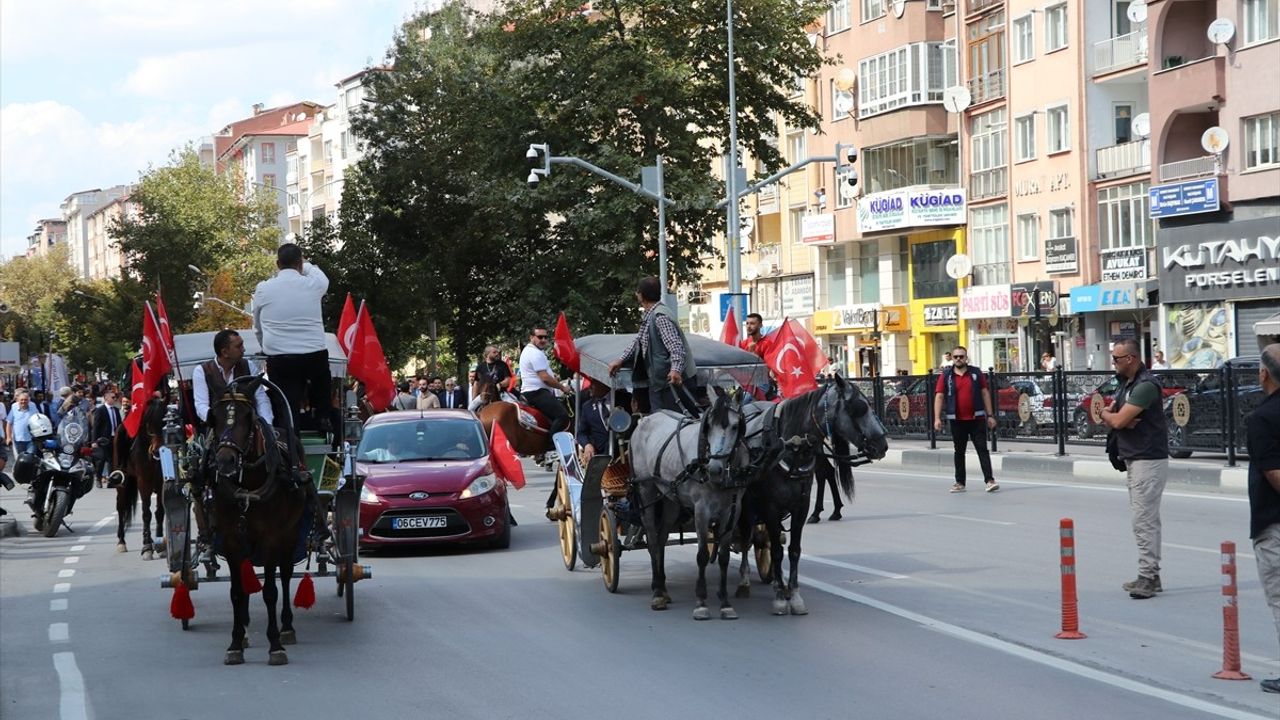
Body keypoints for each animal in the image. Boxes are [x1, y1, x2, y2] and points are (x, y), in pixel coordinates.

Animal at [632, 386, 752, 617]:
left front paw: (725, 602)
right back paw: (657, 592)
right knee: (652, 539)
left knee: (661, 539)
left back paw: (663, 587)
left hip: (670, 498)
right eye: (709, 425)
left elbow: (723, 556)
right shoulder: (701, 510)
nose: (714, 469)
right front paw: (701, 602)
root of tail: (646, 419)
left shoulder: (733, 511)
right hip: (645, 489)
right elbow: (703, 555)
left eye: (735, 426)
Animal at [737, 371, 885, 614]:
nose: (882, 444)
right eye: (859, 407)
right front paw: (780, 596)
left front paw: (793, 594)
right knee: (746, 535)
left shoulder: (800, 508)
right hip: (747, 504)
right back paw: (744, 580)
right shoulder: (771, 509)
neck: (790, 448)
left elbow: (794, 550)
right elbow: (776, 550)